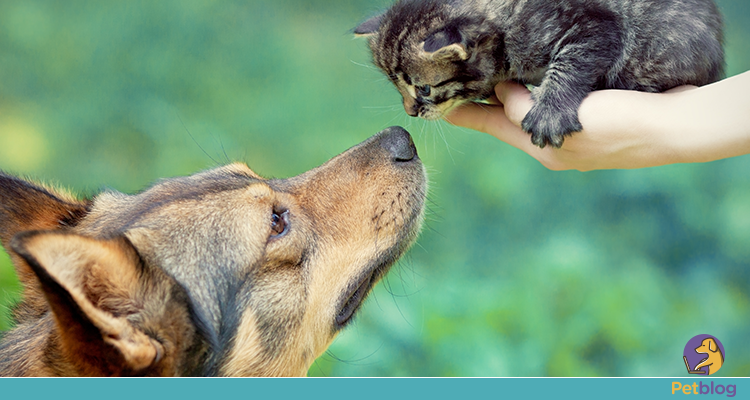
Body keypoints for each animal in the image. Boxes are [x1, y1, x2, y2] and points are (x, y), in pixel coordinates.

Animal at [356, 0, 724, 148]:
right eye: (397, 86)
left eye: (424, 89)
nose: (410, 111)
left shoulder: (600, 23)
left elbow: (572, 62)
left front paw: (550, 112)